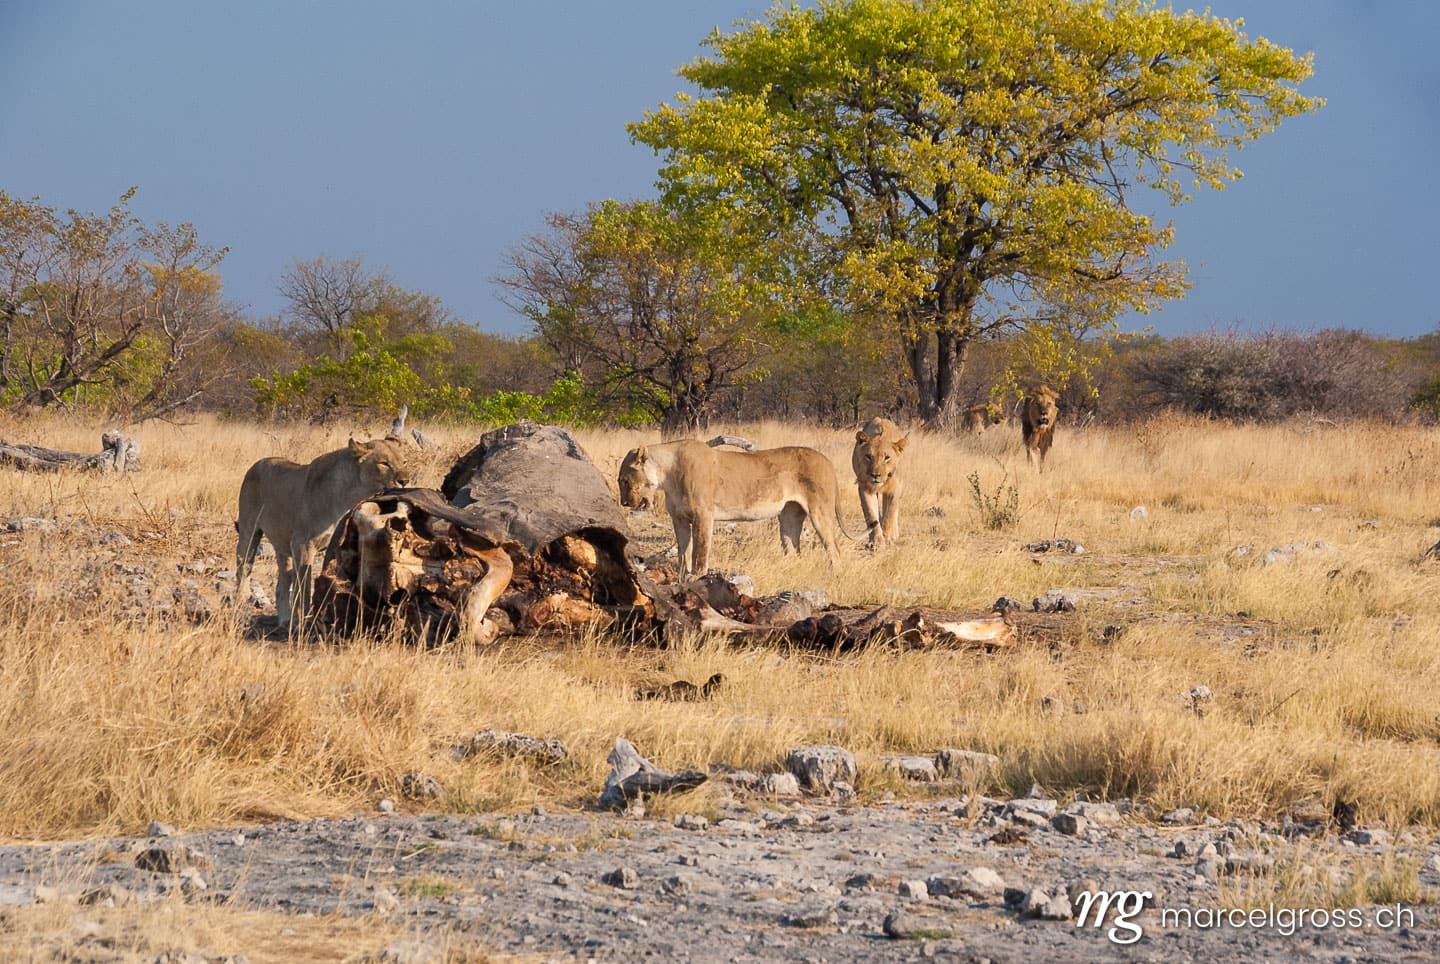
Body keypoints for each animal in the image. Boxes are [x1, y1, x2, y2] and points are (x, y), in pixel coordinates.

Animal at [236, 436, 414, 627]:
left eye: (404, 461)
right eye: (384, 463)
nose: (405, 481)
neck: (351, 493)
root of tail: (257, 464)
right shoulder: (302, 545)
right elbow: (304, 589)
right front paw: (302, 623)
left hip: (283, 547)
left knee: (281, 584)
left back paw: (284, 620)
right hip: (249, 535)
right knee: (243, 573)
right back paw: (239, 611)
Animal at [617, 439, 844, 576]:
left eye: (625, 481)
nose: (624, 503)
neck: (667, 476)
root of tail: (828, 461)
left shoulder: (703, 515)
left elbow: (700, 550)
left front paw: (697, 576)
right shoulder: (679, 518)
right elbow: (683, 550)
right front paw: (682, 575)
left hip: (819, 511)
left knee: (834, 549)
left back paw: (834, 575)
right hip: (789, 516)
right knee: (793, 548)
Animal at [851, 417, 908, 547]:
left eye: (887, 458)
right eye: (868, 456)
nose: (875, 475)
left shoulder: (895, 488)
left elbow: (889, 514)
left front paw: (887, 538)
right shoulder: (865, 487)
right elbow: (871, 513)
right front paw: (876, 542)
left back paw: (893, 534)